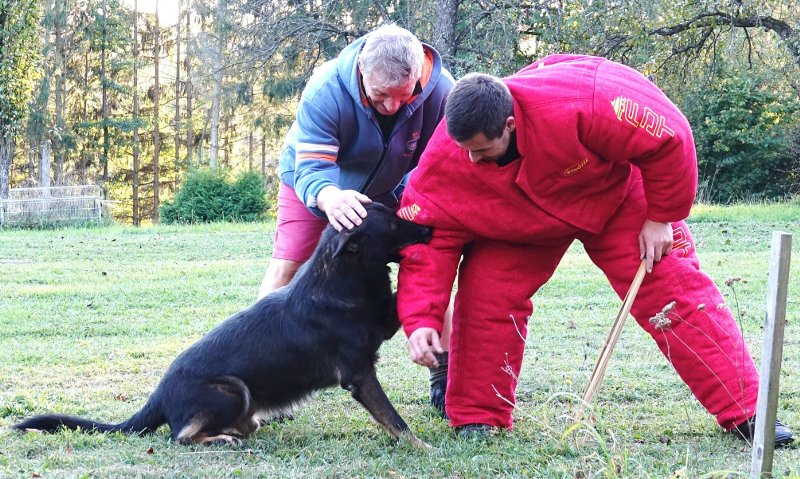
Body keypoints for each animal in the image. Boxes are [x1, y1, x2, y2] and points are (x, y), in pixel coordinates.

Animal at [12, 203, 432, 450]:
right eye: (394, 223)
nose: (430, 231)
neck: (340, 276)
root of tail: (158, 396)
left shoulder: (382, 322)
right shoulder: (359, 375)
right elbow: (395, 420)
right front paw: (421, 447)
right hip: (232, 390)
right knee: (180, 436)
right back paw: (221, 438)